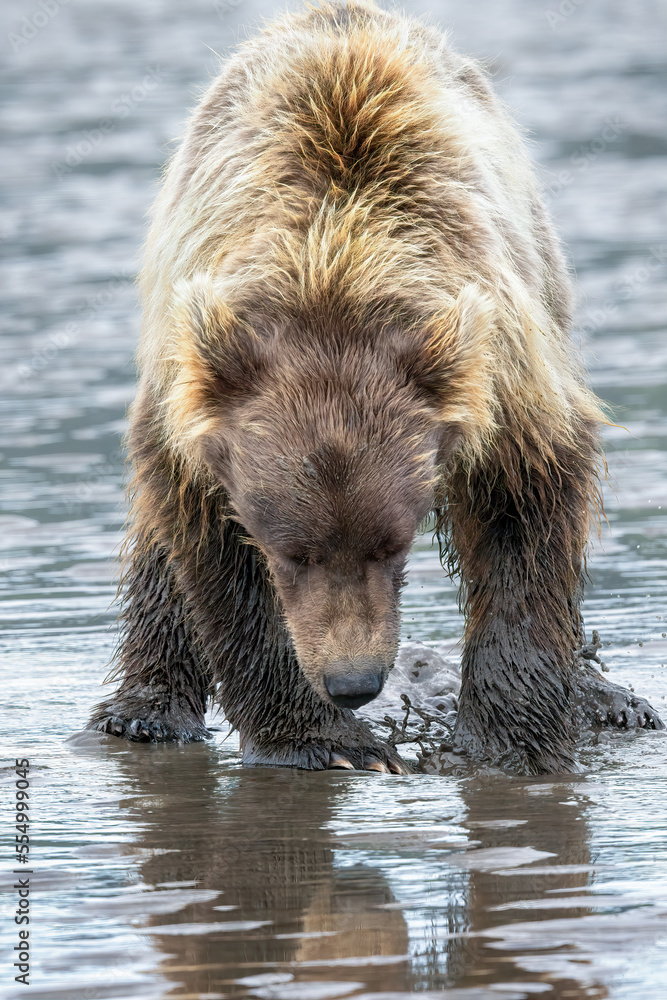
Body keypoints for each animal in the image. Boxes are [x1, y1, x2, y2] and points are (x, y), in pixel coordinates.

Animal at [88, 0, 663, 774]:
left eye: (392, 545)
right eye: (293, 551)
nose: (354, 683)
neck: (333, 268)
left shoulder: (501, 372)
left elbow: (525, 513)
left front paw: (506, 742)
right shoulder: (199, 409)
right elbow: (213, 554)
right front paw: (323, 740)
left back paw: (607, 696)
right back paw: (145, 711)